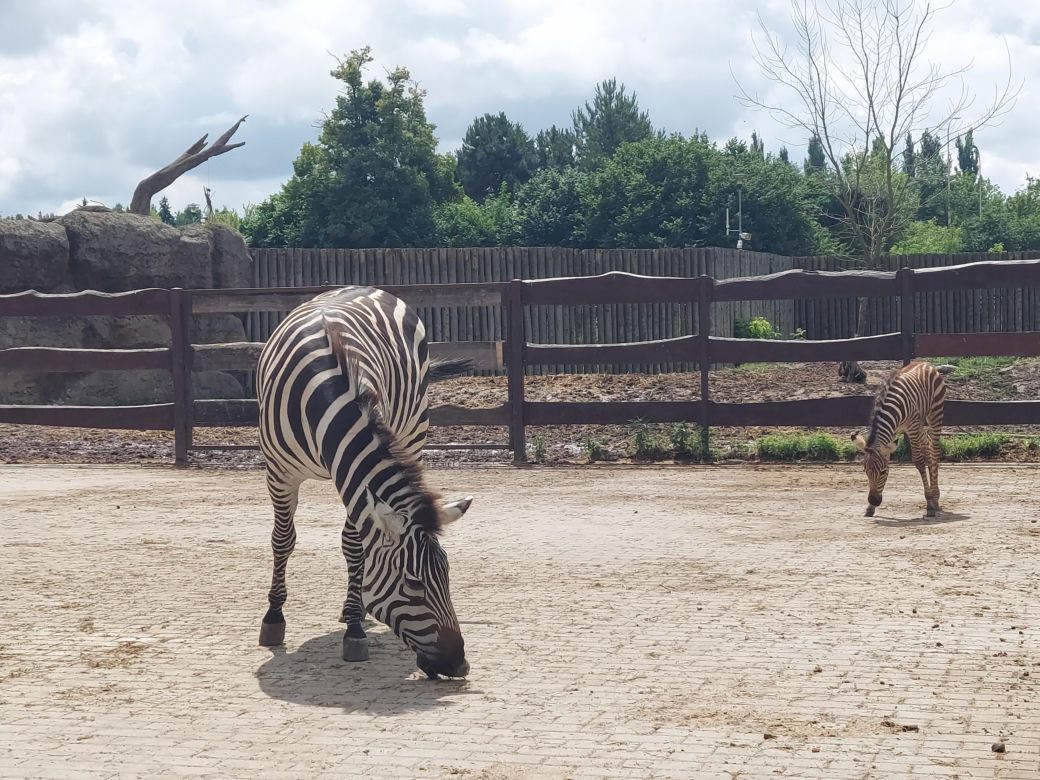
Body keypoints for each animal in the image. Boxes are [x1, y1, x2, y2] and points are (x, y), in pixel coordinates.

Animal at [256, 286, 473, 679]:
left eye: (448, 575)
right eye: (414, 583)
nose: (459, 664)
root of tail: (363, 287)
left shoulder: (355, 479)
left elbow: (354, 547)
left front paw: (355, 626)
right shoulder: (278, 473)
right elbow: (282, 540)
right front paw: (274, 617)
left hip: (413, 432)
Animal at [852, 361, 946, 518]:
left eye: (883, 472)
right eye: (866, 471)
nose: (874, 500)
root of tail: (924, 363)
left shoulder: (911, 427)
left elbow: (919, 462)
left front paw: (929, 504)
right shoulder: (891, 433)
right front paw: (870, 507)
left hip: (934, 413)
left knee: (935, 451)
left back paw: (935, 498)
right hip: (920, 422)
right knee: (927, 448)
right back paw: (934, 498)